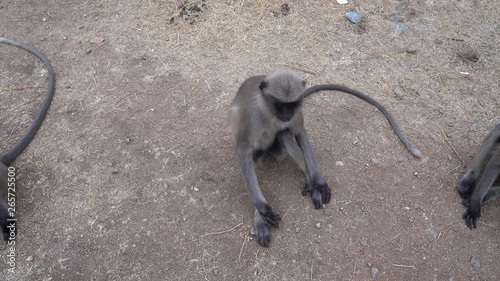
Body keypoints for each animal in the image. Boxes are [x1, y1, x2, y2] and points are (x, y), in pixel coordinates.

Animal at [229, 70, 424, 245]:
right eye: (279, 104)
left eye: (291, 104)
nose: (286, 114)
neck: (269, 111)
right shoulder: (253, 116)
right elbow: (243, 152)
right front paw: (262, 210)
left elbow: (300, 134)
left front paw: (318, 181)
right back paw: (261, 217)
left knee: (284, 135)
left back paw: (311, 183)